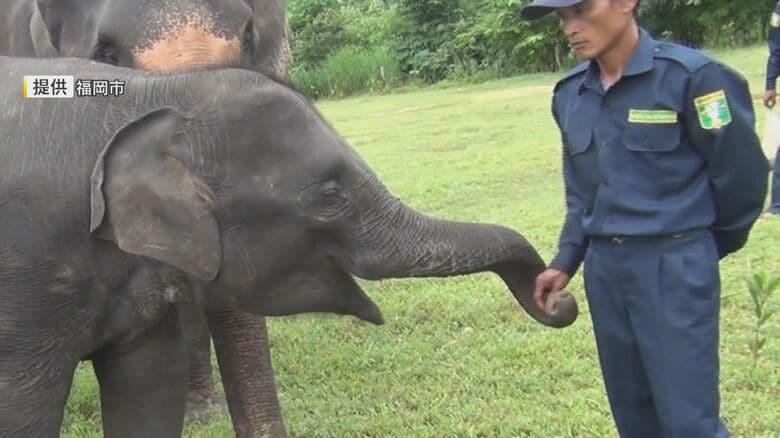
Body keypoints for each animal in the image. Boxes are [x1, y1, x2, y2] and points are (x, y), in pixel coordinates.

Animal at [1, 56, 580, 438]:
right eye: (329, 197)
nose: (560, 299)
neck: (153, 92)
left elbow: (149, 388)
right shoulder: (29, 273)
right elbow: (23, 408)